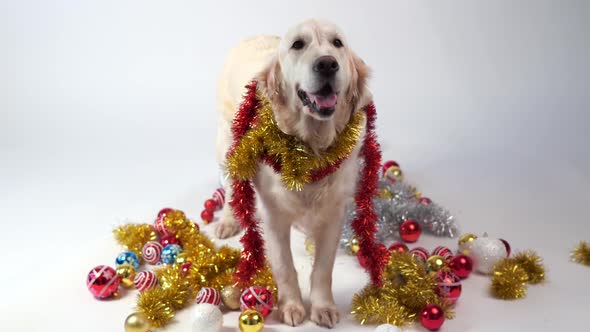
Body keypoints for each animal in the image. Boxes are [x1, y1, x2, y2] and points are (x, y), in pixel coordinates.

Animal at [215, 19, 370, 328]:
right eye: (298, 44)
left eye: (337, 43)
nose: (327, 64)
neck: (310, 148)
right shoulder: (273, 216)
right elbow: (284, 266)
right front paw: (291, 306)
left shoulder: (334, 213)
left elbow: (323, 267)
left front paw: (323, 307)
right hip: (227, 145)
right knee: (230, 187)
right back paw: (228, 220)